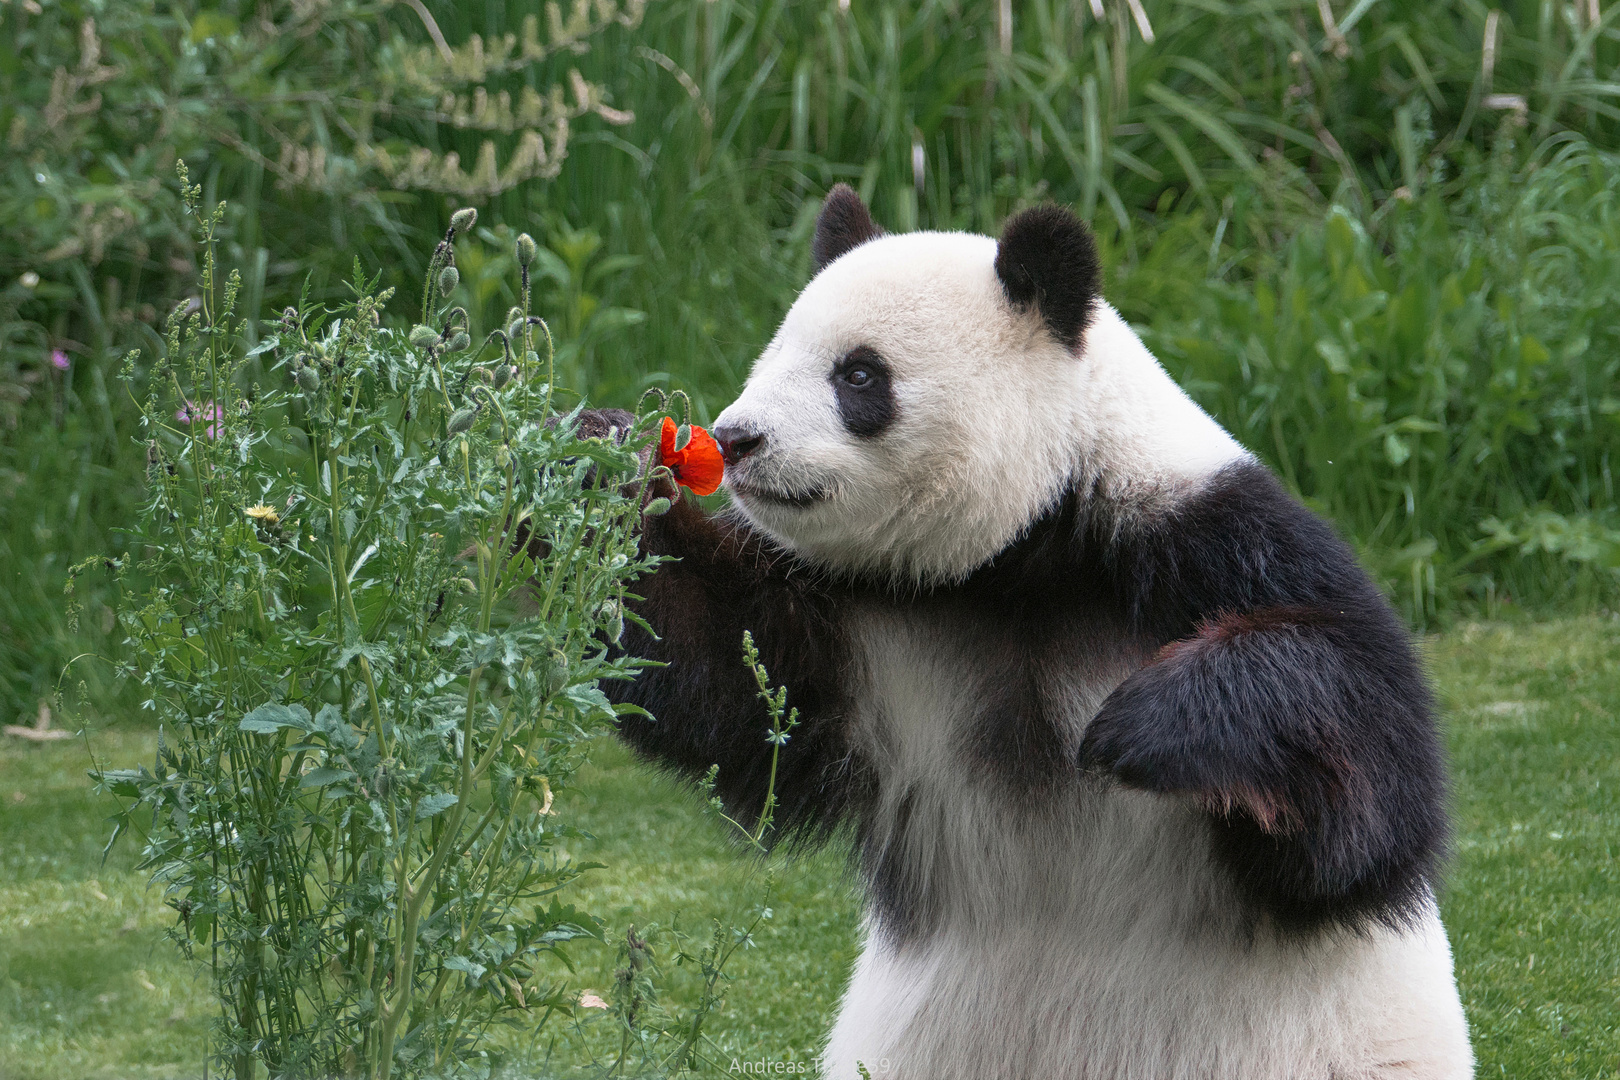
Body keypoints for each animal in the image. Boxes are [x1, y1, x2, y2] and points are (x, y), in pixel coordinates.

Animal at [602, 187, 1477, 1080]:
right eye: (774, 353)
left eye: (858, 374)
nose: (737, 439)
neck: (1021, 561)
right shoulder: (873, 624)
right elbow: (736, 683)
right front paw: (599, 471)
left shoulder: (1210, 548)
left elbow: (1367, 778)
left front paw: (1141, 729)